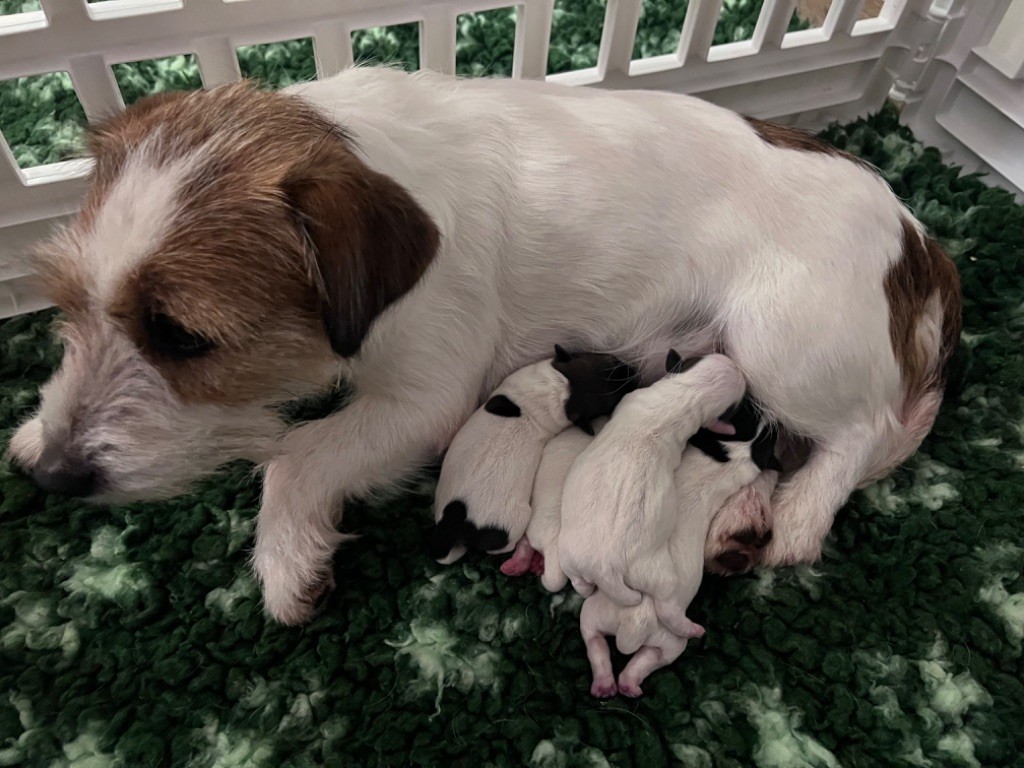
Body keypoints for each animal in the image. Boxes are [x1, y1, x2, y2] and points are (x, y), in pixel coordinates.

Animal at [561, 352, 745, 634]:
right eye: (700, 357)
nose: (737, 366)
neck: (685, 395)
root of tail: (606, 569)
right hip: (623, 565)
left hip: (592, 557)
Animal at [577, 415, 774, 696]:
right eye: (748, 419)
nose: (769, 418)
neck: (722, 461)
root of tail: (634, 623)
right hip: (630, 628)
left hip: (637, 629)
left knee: (612, 650)